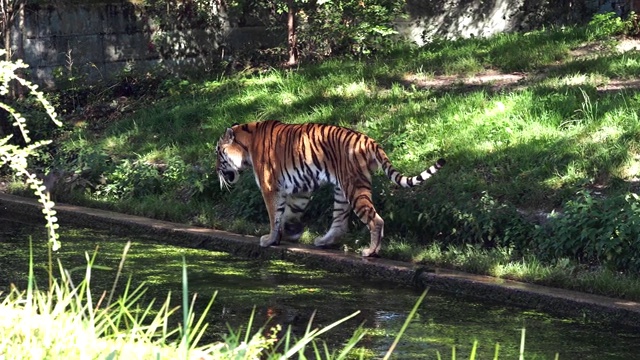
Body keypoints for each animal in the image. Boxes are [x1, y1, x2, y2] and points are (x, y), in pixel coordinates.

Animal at [215, 120, 444, 256]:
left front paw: (270, 239)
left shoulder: (269, 186)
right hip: (342, 191)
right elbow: (289, 213)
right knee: (340, 223)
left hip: (353, 187)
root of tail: (370, 140)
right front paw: (290, 233)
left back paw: (370, 251)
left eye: (218, 153)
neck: (247, 145)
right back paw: (323, 242)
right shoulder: (300, 189)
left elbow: (274, 215)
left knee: (375, 219)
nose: (215, 169)